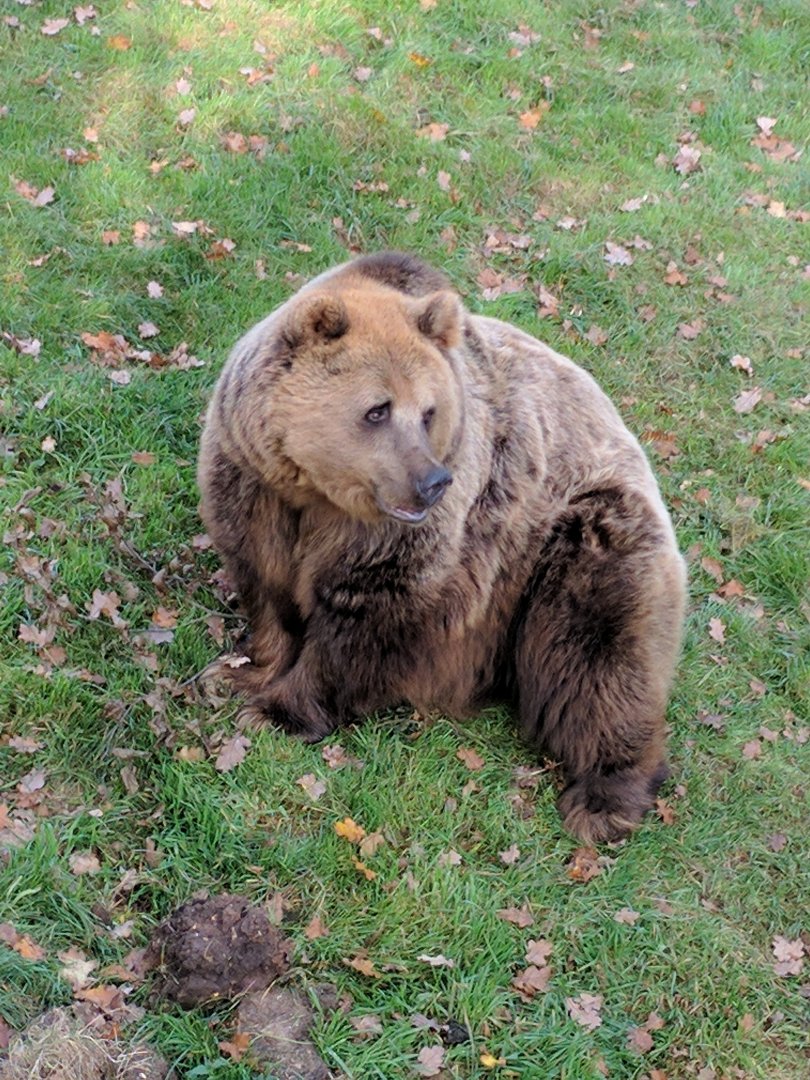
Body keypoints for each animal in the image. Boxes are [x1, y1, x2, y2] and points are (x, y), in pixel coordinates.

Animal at [198, 251, 686, 844]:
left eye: (429, 411)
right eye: (378, 410)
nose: (432, 481)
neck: (316, 494)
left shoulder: (408, 541)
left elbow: (362, 620)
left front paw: (277, 713)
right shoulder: (253, 486)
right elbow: (266, 586)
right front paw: (238, 670)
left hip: (578, 544)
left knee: (597, 656)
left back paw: (604, 799)